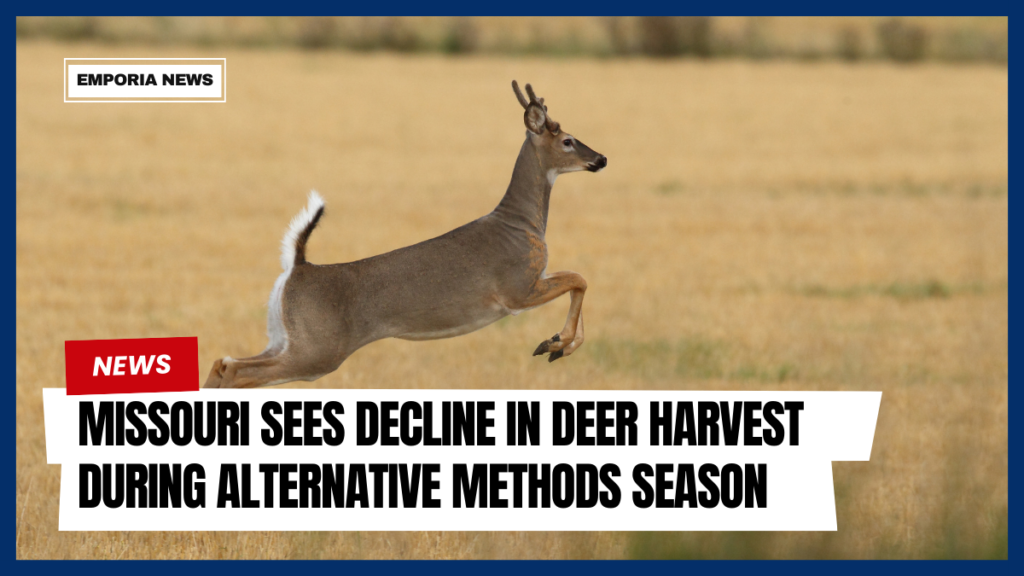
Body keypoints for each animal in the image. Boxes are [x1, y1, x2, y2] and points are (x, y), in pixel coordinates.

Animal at [203, 81, 607, 388]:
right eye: (568, 140)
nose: (601, 159)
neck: (519, 223)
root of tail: (298, 266)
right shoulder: (516, 289)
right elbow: (580, 278)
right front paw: (556, 344)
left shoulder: (532, 282)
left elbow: (578, 282)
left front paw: (557, 345)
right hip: (317, 349)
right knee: (236, 370)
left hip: (284, 338)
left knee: (223, 363)